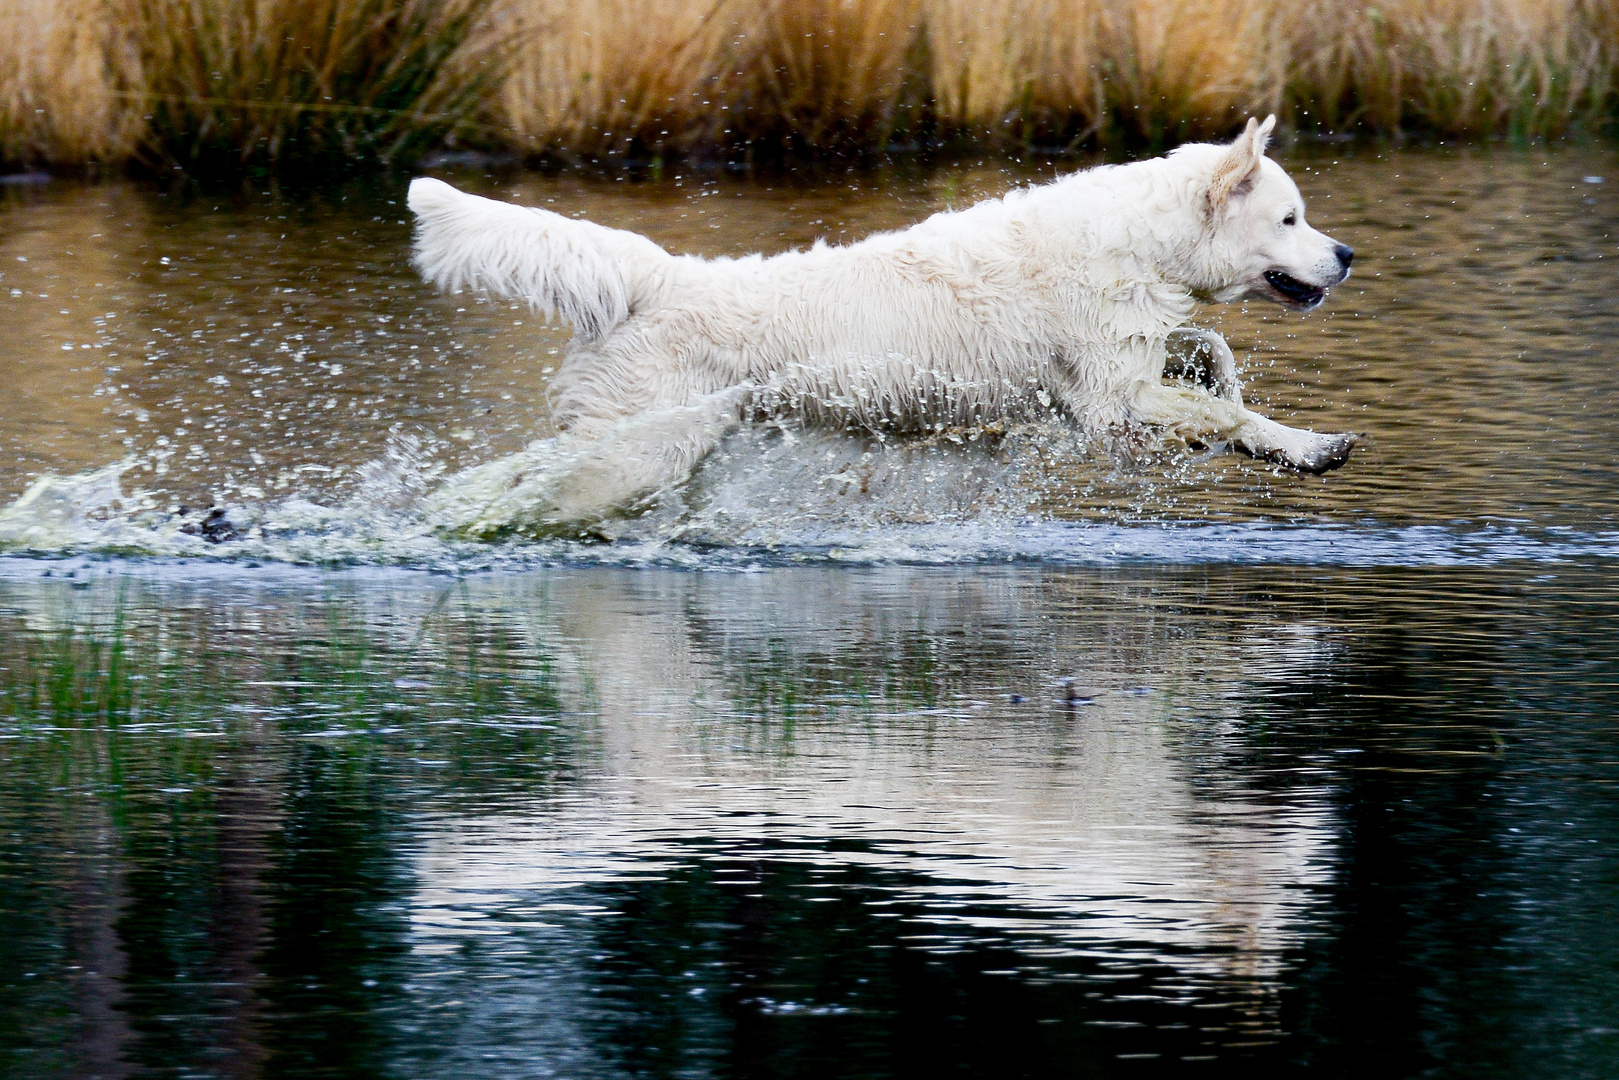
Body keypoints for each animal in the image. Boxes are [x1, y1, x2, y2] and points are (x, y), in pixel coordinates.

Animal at [404, 114, 1353, 527]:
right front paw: (1309, 445)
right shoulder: (1107, 405)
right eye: (1290, 218)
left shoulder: (1119, 374)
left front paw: (1256, 409)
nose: (1346, 255)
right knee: (525, 495)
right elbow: (1228, 414)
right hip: (637, 450)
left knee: (510, 477)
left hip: (630, 441)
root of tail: (661, 275)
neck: (1140, 241)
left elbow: (1207, 355)